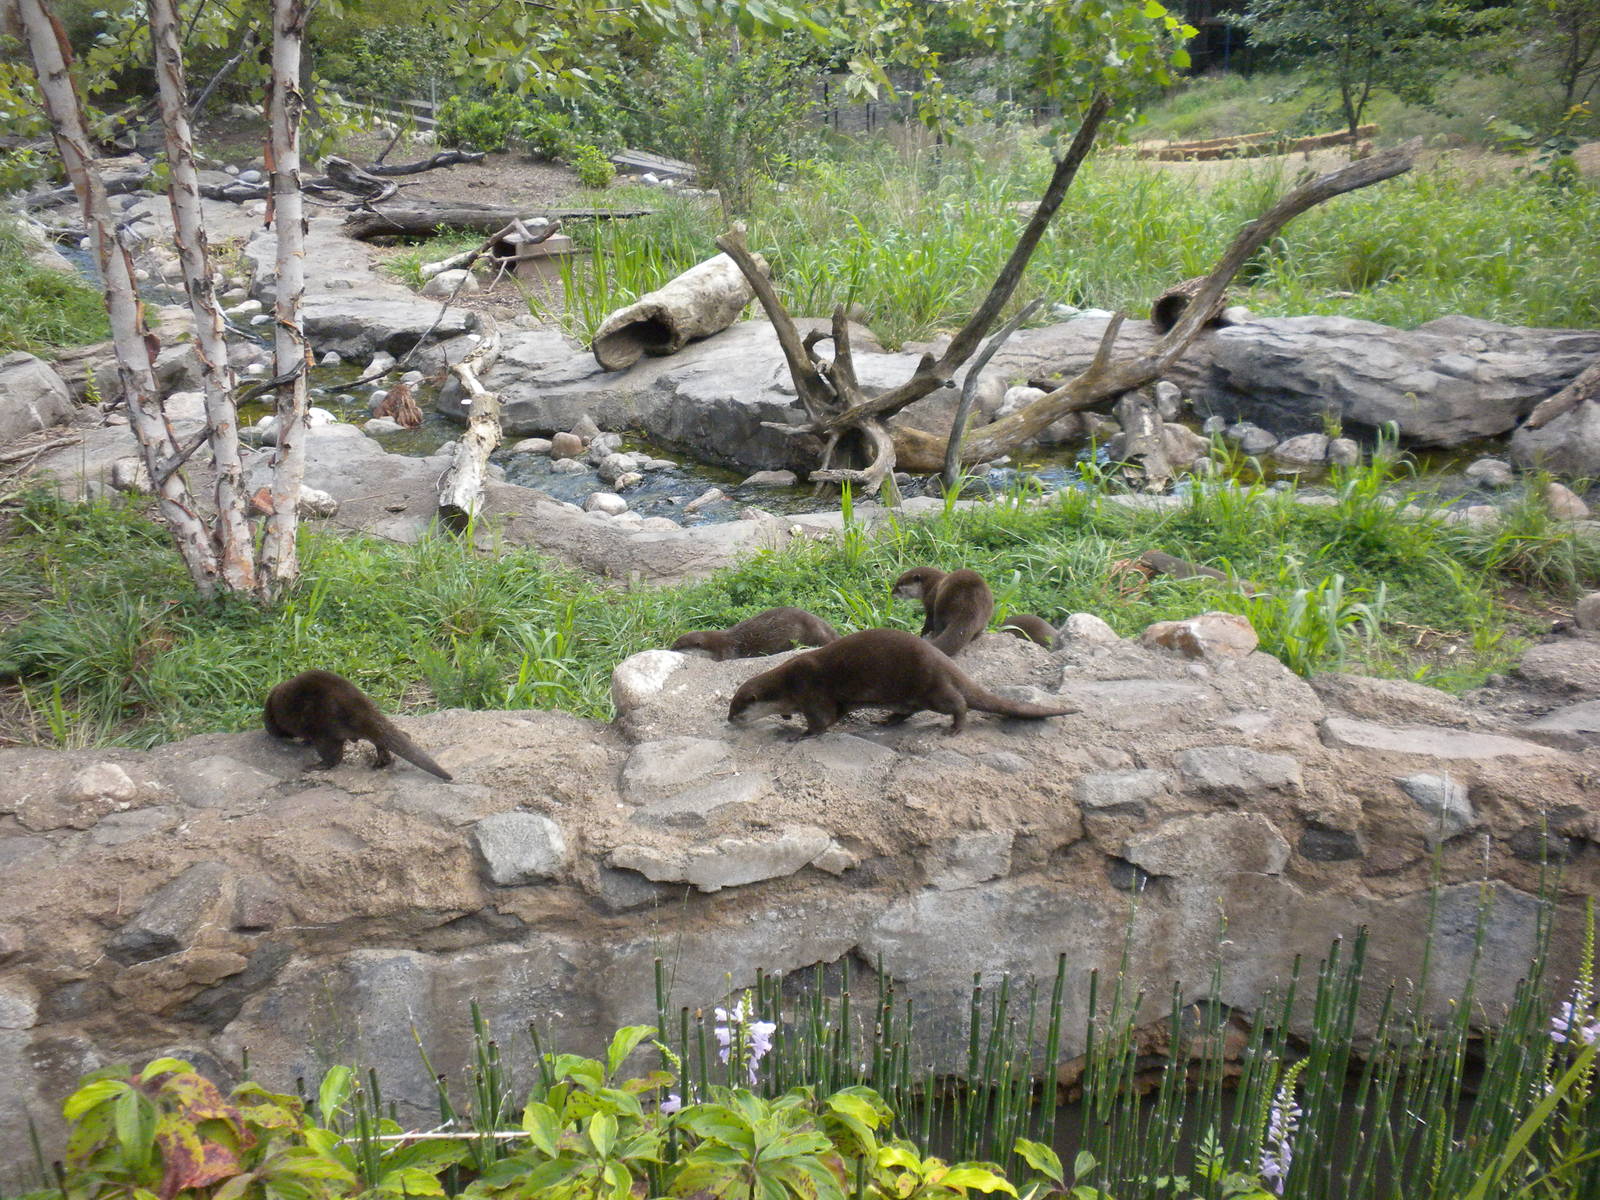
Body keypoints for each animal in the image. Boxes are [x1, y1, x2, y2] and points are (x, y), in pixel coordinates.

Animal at [264, 670, 452, 780]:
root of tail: (359, 707)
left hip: (325, 730)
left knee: (334, 758)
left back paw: (314, 766)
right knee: (396, 736)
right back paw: (381, 761)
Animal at [727, 628, 1077, 736]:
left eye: (736, 708)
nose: (729, 720)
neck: (787, 685)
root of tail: (943, 659)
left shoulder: (811, 691)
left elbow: (822, 721)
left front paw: (801, 734)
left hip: (931, 686)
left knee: (958, 702)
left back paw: (955, 728)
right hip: (907, 694)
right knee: (909, 710)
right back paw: (888, 720)